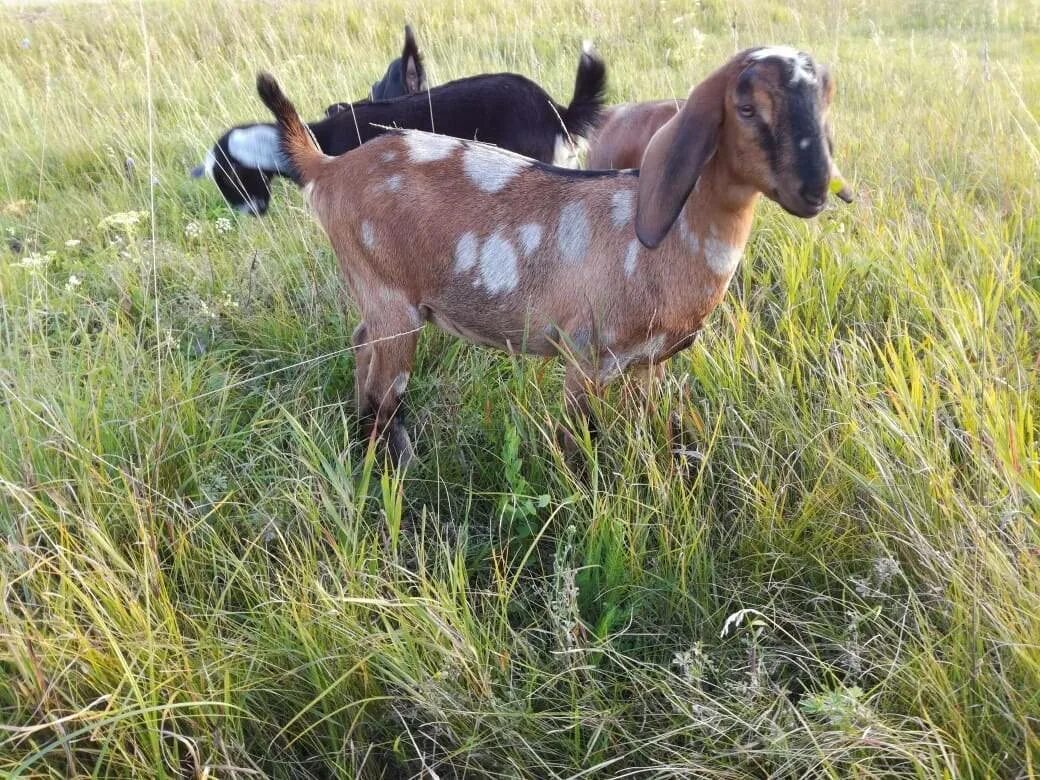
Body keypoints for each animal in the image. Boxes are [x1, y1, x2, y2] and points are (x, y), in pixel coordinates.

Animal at [257, 47, 852, 463]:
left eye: (826, 100)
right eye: (746, 107)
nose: (814, 190)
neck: (657, 247)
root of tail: (328, 168)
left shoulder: (648, 365)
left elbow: (651, 425)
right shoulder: (584, 354)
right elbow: (578, 440)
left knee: (361, 346)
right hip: (390, 298)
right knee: (386, 389)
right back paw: (390, 467)